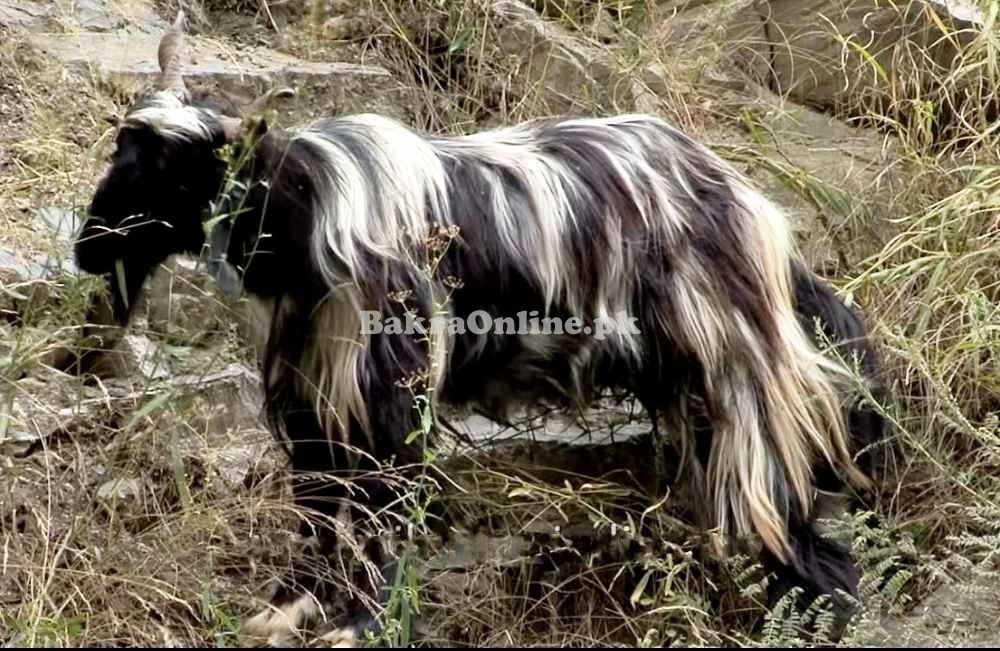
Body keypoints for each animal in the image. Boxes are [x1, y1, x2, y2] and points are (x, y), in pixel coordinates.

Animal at [66, 10, 888, 648]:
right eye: (121, 148)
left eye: (175, 172)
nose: (88, 247)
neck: (305, 211)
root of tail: (761, 220)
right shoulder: (311, 394)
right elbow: (320, 505)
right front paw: (285, 608)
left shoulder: (387, 395)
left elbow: (383, 508)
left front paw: (357, 623)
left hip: (742, 389)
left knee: (801, 534)